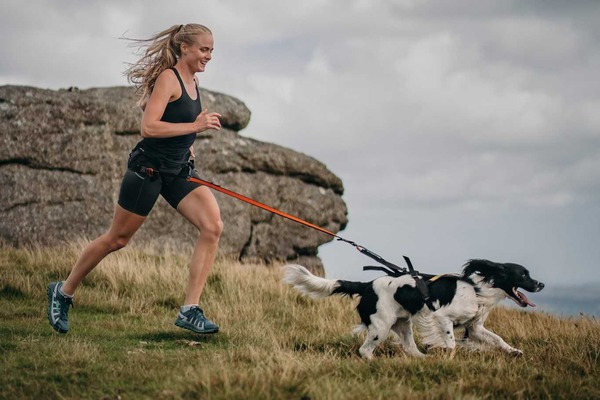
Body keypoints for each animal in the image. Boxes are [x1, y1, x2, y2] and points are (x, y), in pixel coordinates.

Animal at [282, 260, 544, 360]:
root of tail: (366, 285)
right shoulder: (441, 316)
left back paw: (423, 359)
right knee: (365, 350)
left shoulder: (476, 327)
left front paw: (514, 351)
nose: (540, 284)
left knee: (409, 348)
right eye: (523, 275)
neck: (477, 290)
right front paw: (447, 352)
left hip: (402, 324)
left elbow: (497, 339)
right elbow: (450, 342)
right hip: (381, 326)